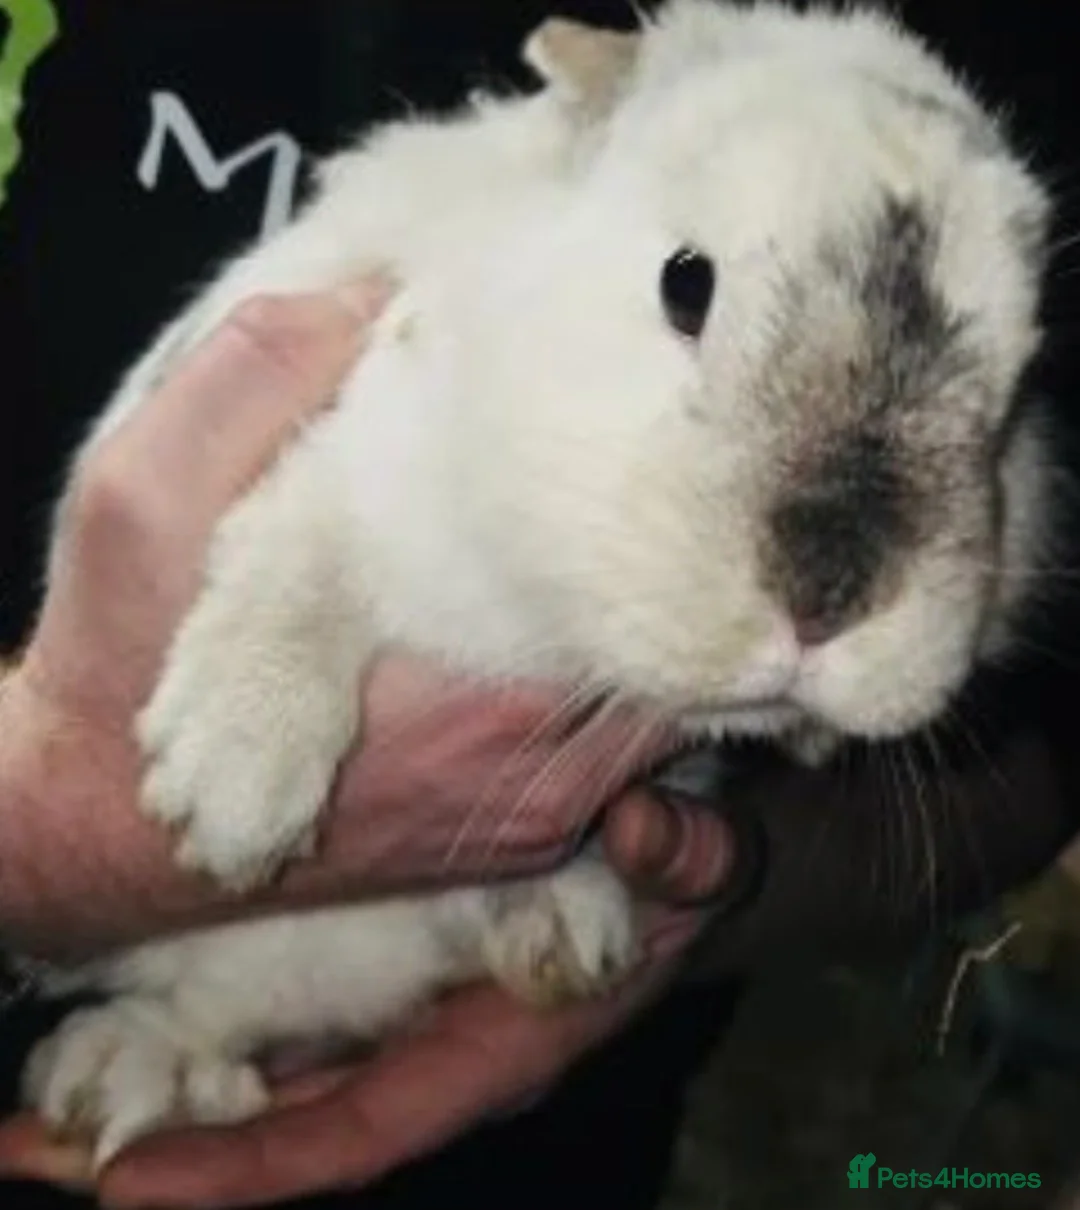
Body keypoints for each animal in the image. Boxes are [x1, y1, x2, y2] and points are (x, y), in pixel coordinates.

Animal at [23, 0, 1057, 1170]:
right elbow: (296, 550)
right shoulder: (348, 453)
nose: (829, 599)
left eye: (1023, 382)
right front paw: (236, 799)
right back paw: (118, 1075)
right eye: (685, 282)